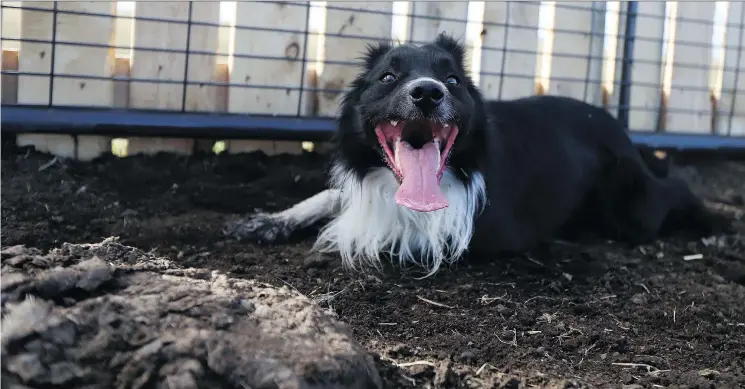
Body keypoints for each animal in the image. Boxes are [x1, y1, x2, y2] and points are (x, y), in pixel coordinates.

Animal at [225, 33, 728, 276]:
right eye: (388, 77)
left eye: (452, 81)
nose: (428, 93)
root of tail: (615, 125)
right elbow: (334, 197)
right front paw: (272, 220)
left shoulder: (448, 231)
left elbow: (361, 228)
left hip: (632, 210)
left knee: (673, 188)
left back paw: (715, 222)